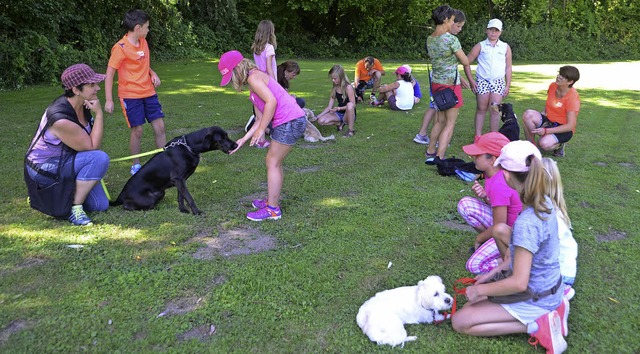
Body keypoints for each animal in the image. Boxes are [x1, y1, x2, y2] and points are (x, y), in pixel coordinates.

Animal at [111, 126, 239, 214]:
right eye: (222, 138)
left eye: (227, 135)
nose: (236, 145)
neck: (189, 146)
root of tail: (121, 195)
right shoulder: (178, 178)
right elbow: (189, 197)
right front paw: (196, 212)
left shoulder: (181, 180)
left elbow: (181, 196)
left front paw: (182, 210)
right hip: (149, 198)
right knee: (127, 206)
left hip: (161, 193)